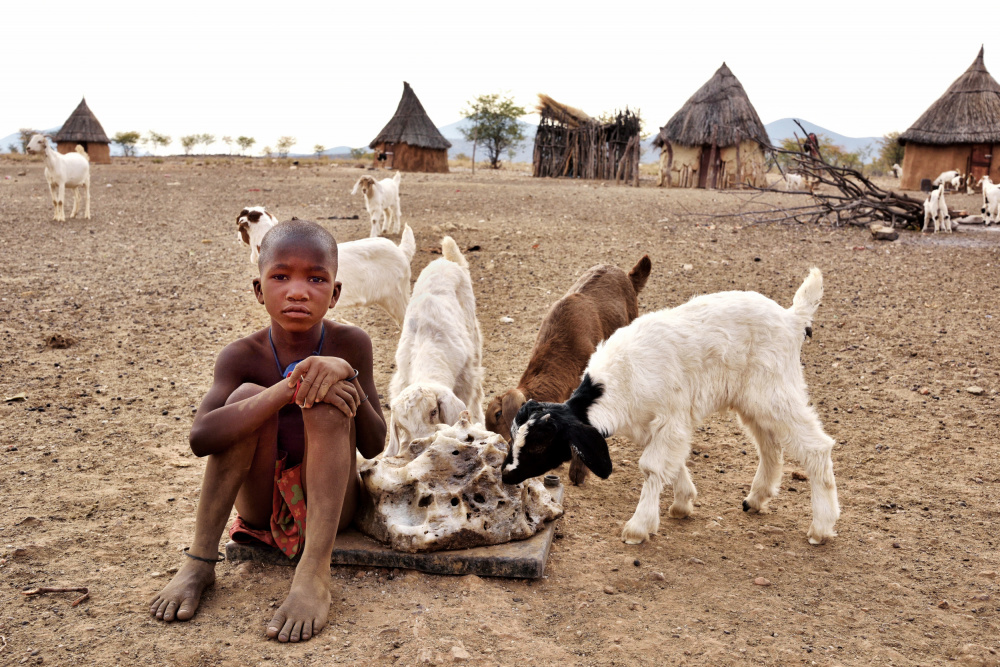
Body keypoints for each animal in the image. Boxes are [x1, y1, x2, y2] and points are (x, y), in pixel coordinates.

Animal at [386, 237, 484, 456]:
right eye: (402, 425)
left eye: (433, 411)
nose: (421, 445)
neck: (426, 347)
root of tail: (446, 260)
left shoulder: (464, 380)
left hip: (474, 335)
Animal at [504, 270, 840, 548]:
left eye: (540, 445)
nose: (507, 476)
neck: (620, 377)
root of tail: (792, 319)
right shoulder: (656, 426)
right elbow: (673, 461)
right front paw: (683, 502)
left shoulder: (671, 418)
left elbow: (652, 466)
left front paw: (638, 527)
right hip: (752, 402)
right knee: (770, 445)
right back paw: (756, 499)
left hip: (776, 393)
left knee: (816, 446)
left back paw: (821, 528)